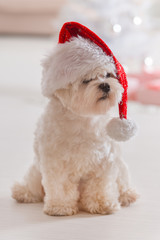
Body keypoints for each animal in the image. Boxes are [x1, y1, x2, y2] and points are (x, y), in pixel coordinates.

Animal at [11, 22, 138, 216]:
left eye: (108, 75)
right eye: (86, 80)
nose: (105, 86)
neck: (82, 119)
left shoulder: (104, 162)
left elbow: (100, 186)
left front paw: (102, 204)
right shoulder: (56, 162)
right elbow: (61, 186)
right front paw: (60, 206)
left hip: (121, 168)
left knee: (122, 182)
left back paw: (126, 195)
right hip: (36, 170)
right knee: (33, 183)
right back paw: (23, 191)